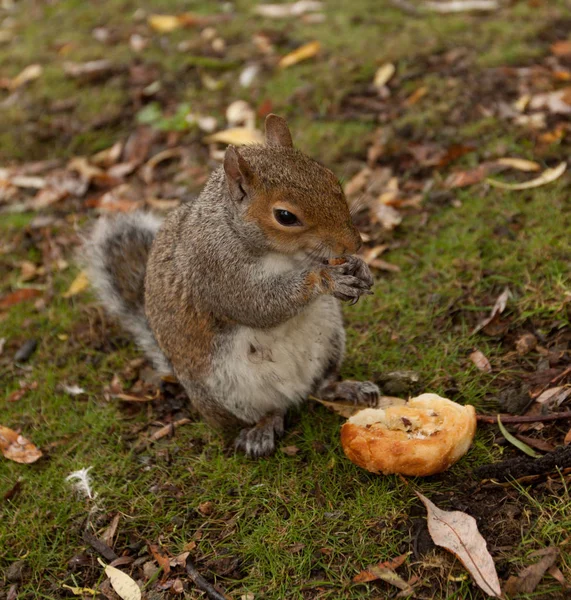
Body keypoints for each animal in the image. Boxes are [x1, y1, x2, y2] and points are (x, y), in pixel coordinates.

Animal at [85, 115, 380, 458]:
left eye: (331, 178)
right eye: (285, 216)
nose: (355, 243)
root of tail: (295, 393)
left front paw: (360, 267)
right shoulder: (214, 270)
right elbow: (257, 305)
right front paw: (327, 279)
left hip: (331, 341)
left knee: (320, 385)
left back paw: (347, 388)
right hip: (227, 391)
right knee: (269, 411)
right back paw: (261, 431)